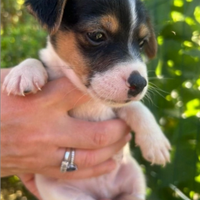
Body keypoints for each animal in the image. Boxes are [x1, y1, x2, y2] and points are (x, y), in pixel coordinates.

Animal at [2, 0, 172, 200]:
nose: (140, 84)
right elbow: (36, 61)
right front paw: (24, 72)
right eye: (97, 35)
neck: (88, 98)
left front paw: (156, 142)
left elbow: (137, 108)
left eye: (142, 43)